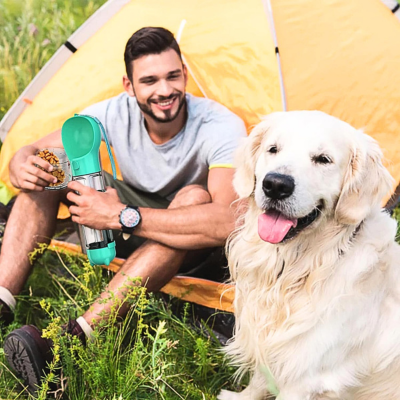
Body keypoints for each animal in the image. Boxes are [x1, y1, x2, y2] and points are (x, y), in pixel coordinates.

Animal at [219, 110, 400, 400]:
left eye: (323, 159)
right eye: (273, 149)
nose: (275, 184)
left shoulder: (306, 377)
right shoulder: (272, 344)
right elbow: (259, 381)